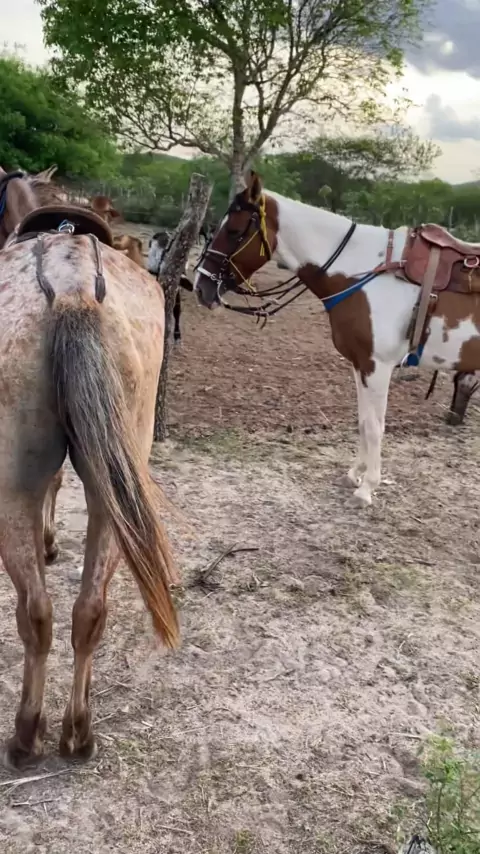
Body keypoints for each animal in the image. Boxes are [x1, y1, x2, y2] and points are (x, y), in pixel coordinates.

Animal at [0, 168, 179, 768]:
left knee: (35, 613)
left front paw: (51, 541)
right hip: (114, 491)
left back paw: (26, 736)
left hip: (12, 489)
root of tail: (74, 288)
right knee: (89, 611)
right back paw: (78, 732)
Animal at [194, 170, 480, 508]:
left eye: (235, 230)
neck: (363, 274)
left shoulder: (377, 366)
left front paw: (367, 488)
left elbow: (375, 426)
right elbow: (363, 421)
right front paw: (354, 475)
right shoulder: (360, 364)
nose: (200, 286)